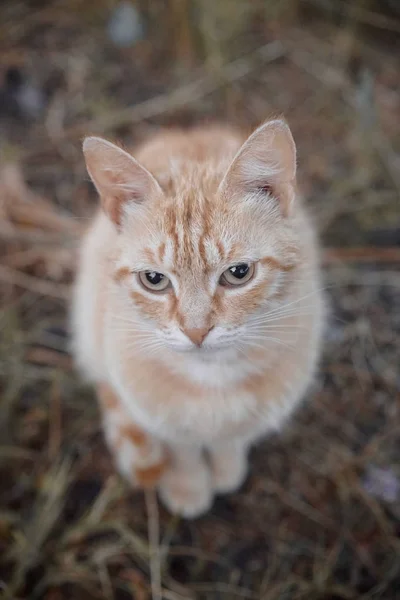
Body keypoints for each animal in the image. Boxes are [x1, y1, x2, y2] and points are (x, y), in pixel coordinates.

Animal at [72, 119, 324, 516]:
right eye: (154, 279)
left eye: (238, 273)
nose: (196, 331)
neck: (212, 380)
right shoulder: (154, 410)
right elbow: (183, 448)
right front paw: (189, 487)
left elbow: (232, 437)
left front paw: (226, 470)